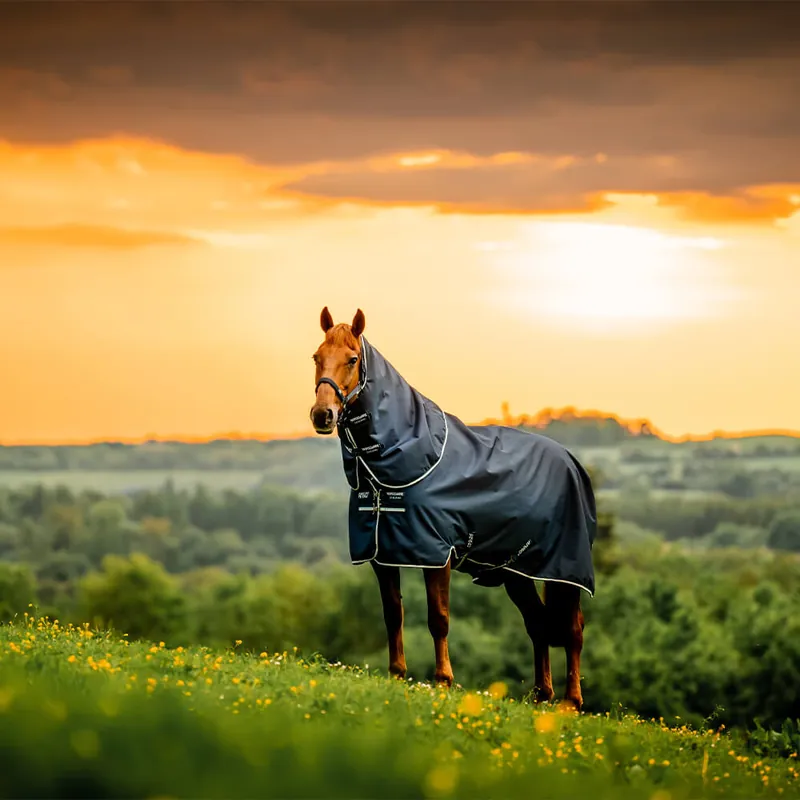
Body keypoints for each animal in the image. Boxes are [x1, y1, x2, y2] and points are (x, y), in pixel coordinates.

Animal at [310, 307, 597, 709]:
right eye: (316, 357)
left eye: (352, 359)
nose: (322, 415)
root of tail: (571, 461)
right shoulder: (382, 554)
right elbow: (393, 613)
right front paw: (396, 674)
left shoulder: (436, 553)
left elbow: (438, 617)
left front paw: (443, 680)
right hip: (517, 571)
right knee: (538, 623)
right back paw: (542, 696)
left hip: (564, 568)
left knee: (572, 628)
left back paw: (571, 701)